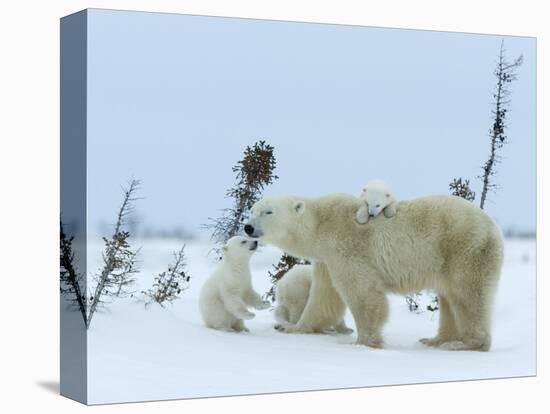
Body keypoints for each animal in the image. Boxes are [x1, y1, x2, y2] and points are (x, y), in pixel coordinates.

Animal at [246, 192, 504, 350]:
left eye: (268, 212)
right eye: (252, 209)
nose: (248, 227)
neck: (321, 224)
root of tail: (493, 226)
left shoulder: (346, 246)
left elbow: (362, 292)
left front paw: (364, 342)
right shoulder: (326, 260)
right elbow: (324, 298)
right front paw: (292, 327)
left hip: (464, 249)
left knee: (467, 294)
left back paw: (465, 343)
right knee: (449, 297)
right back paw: (435, 340)